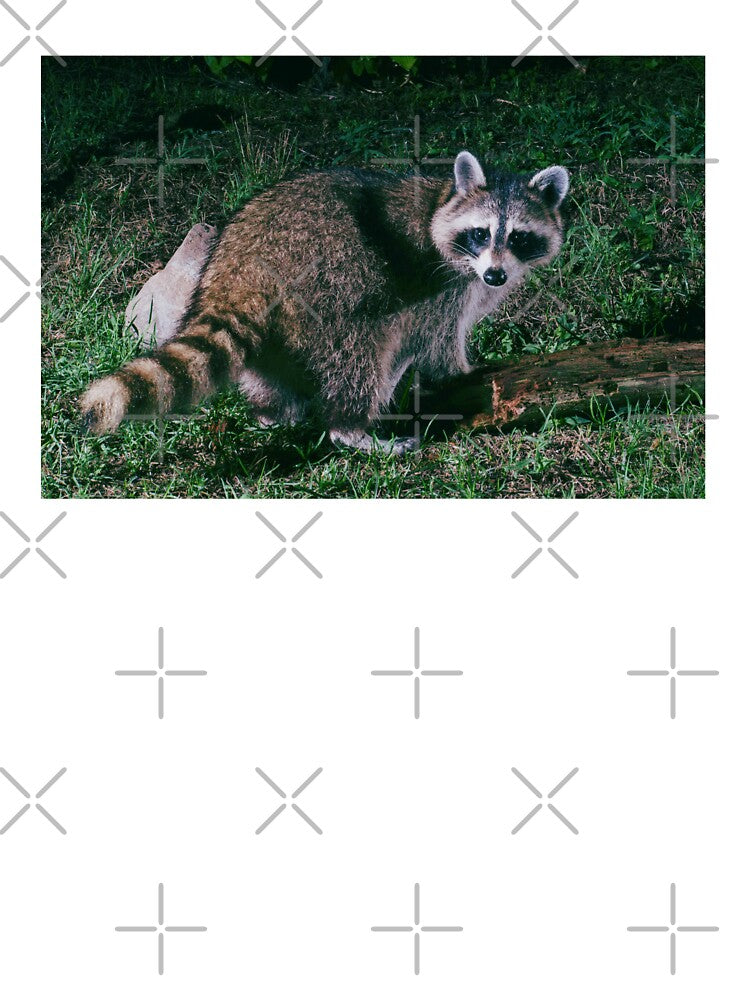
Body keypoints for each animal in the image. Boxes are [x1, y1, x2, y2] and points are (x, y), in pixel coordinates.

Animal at [79, 151, 569, 452]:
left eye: (519, 237)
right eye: (481, 233)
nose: (495, 275)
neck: (443, 201)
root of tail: (241, 268)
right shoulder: (438, 281)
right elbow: (436, 341)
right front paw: (459, 371)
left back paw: (274, 412)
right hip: (327, 284)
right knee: (361, 347)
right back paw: (351, 429)